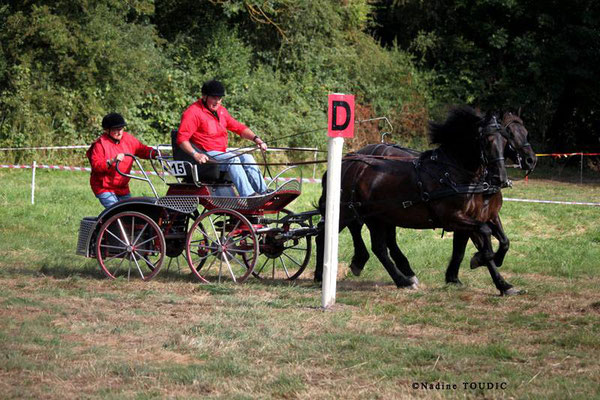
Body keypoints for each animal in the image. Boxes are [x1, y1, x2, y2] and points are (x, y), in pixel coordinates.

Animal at [314, 108, 520, 296]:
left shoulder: (483, 216)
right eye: (487, 140)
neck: (453, 172)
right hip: (345, 213)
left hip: (376, 217)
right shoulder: (454, 217)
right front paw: (480, 260)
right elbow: (484, 238)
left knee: (378, 247)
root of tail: (346, 162)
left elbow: (500, 242)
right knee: (324, 236)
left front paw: (502, 283)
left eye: (506, 141)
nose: (500, 178)